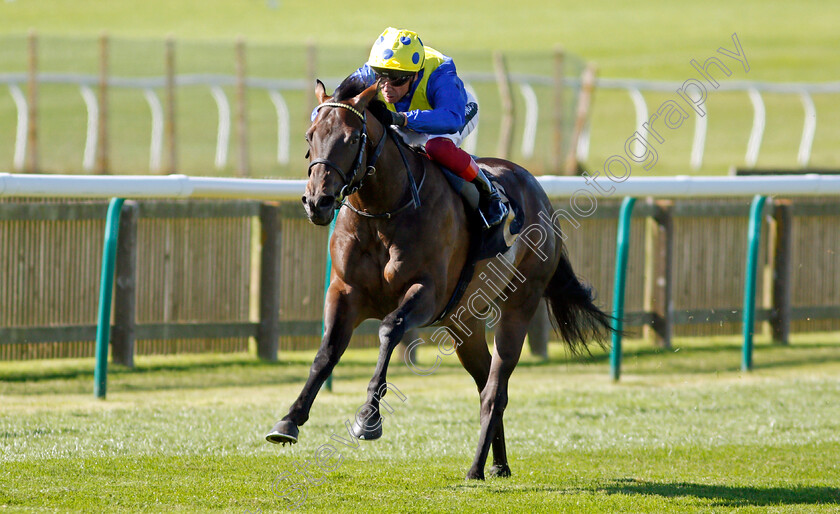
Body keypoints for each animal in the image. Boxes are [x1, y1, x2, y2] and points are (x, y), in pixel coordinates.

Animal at [266, 76, 612, 480]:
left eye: (352, 138)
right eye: (310, 135)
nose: (317, 202)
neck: (382, 211)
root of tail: (540, 193)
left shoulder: (427, 292)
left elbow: (390, 328)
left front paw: (369, 417)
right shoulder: (345, 291)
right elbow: (327, 352)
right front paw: (289, 421)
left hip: (519, 305)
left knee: (495, 389)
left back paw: (476, 468)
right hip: (465, 322)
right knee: (484, 382)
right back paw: (499, 464)